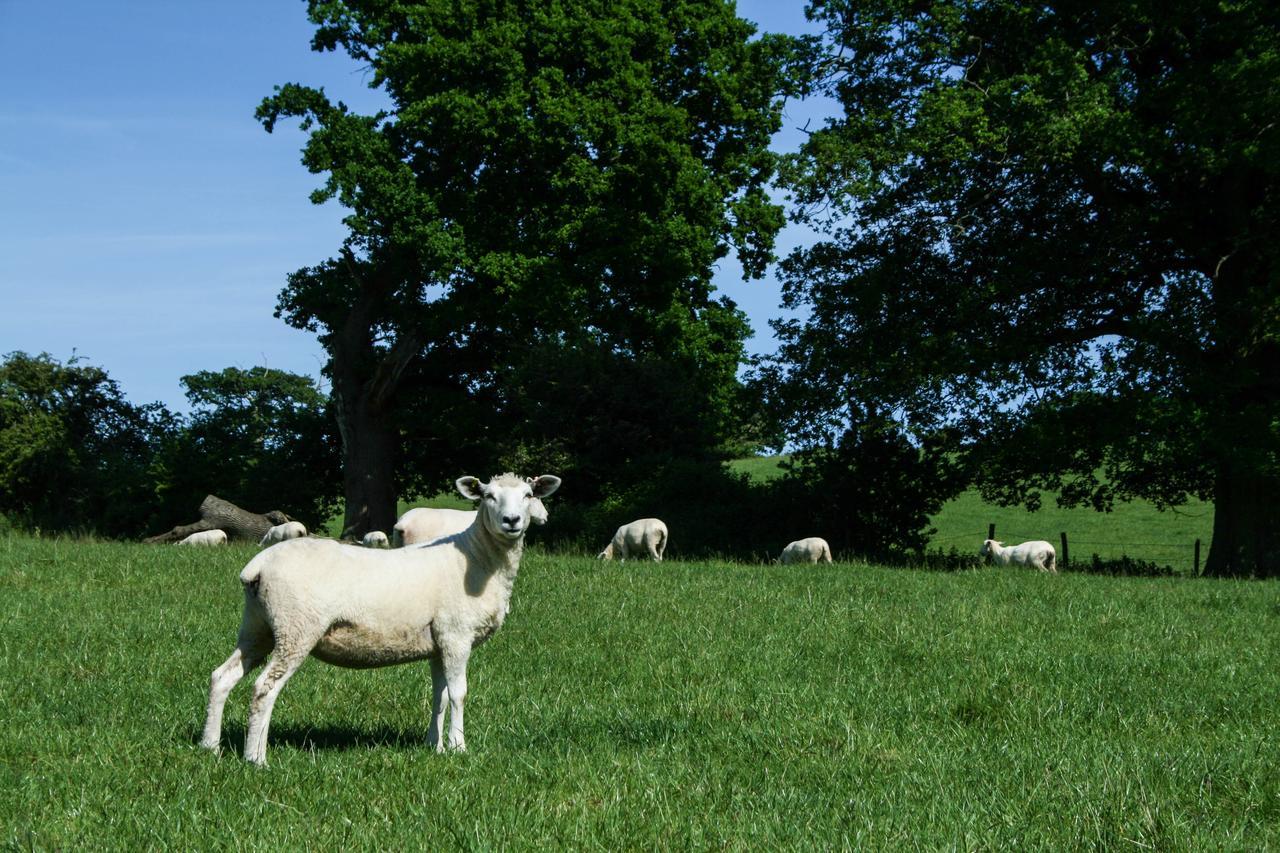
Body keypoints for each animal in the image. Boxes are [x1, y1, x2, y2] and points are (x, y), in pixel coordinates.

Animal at [199, 471, 560, 763]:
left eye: (529, 495)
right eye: (488, 496)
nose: (512, 521)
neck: (476, 559)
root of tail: (256, 567)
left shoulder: (439, 641)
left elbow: (440, 695)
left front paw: (434, 747)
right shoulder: (457, 634)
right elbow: (459, 693)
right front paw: (458, 748)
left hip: (258, 627)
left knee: (222, 676)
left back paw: (210, 746)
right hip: (296, 627)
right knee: (264, 688)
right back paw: (255, 757)